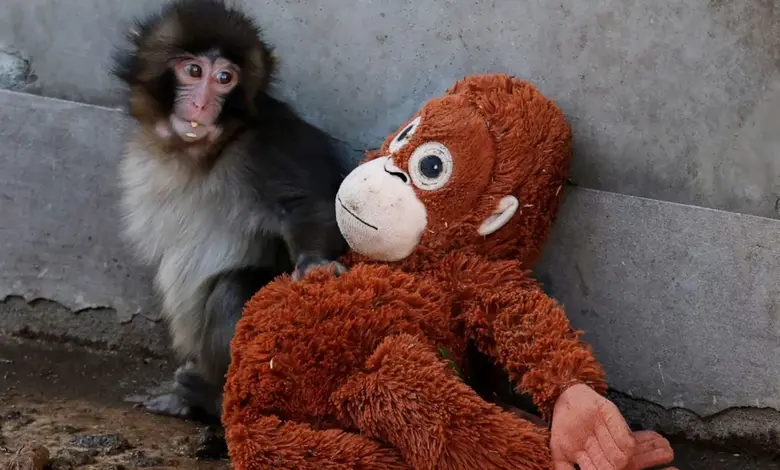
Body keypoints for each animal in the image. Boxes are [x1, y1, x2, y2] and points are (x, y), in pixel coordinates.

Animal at [111, 0, 349, 421]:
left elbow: (308, 204)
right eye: (193, 71)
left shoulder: (268, 143)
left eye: (225, 78)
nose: (202, 104)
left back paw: (211, 397)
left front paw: (315, 263)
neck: (202, 152)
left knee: (233, 290)